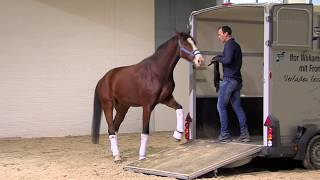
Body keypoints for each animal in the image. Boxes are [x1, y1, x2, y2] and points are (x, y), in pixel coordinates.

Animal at [91, 32, 204, 162]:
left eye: (194, 42)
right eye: (185, 43)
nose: (200, 60)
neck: (156, 72)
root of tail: (103, 79)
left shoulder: (166, 99)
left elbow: (180, 108)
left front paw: (177, 134)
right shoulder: (147, 106)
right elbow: (145, 131)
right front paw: (142, 156)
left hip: (123, 108)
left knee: (114, 127)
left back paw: (117, 154)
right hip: (108, 105)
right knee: (111, 129)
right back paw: (117, 157)